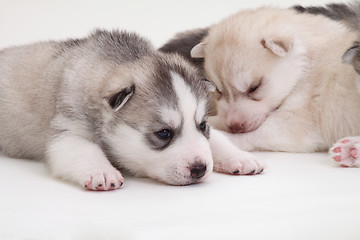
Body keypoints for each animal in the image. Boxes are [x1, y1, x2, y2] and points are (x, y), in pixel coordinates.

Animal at [0, 30, 264, 190]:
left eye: (202, 125)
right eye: (163, 133)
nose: (200, 169)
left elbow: (217, 140)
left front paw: (239, 156)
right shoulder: (65, 129)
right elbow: (83, 148)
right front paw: (102, 171)